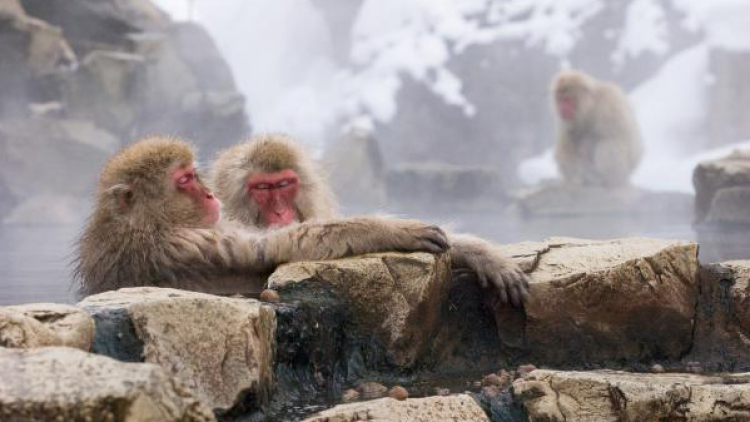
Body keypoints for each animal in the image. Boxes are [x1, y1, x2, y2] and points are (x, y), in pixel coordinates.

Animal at [73, 136, 450, 297]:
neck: (145, 225)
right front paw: (396, 229)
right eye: (184, 180)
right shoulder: (183, 241)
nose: (208, 194)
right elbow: (281, 242)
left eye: (193, 174)